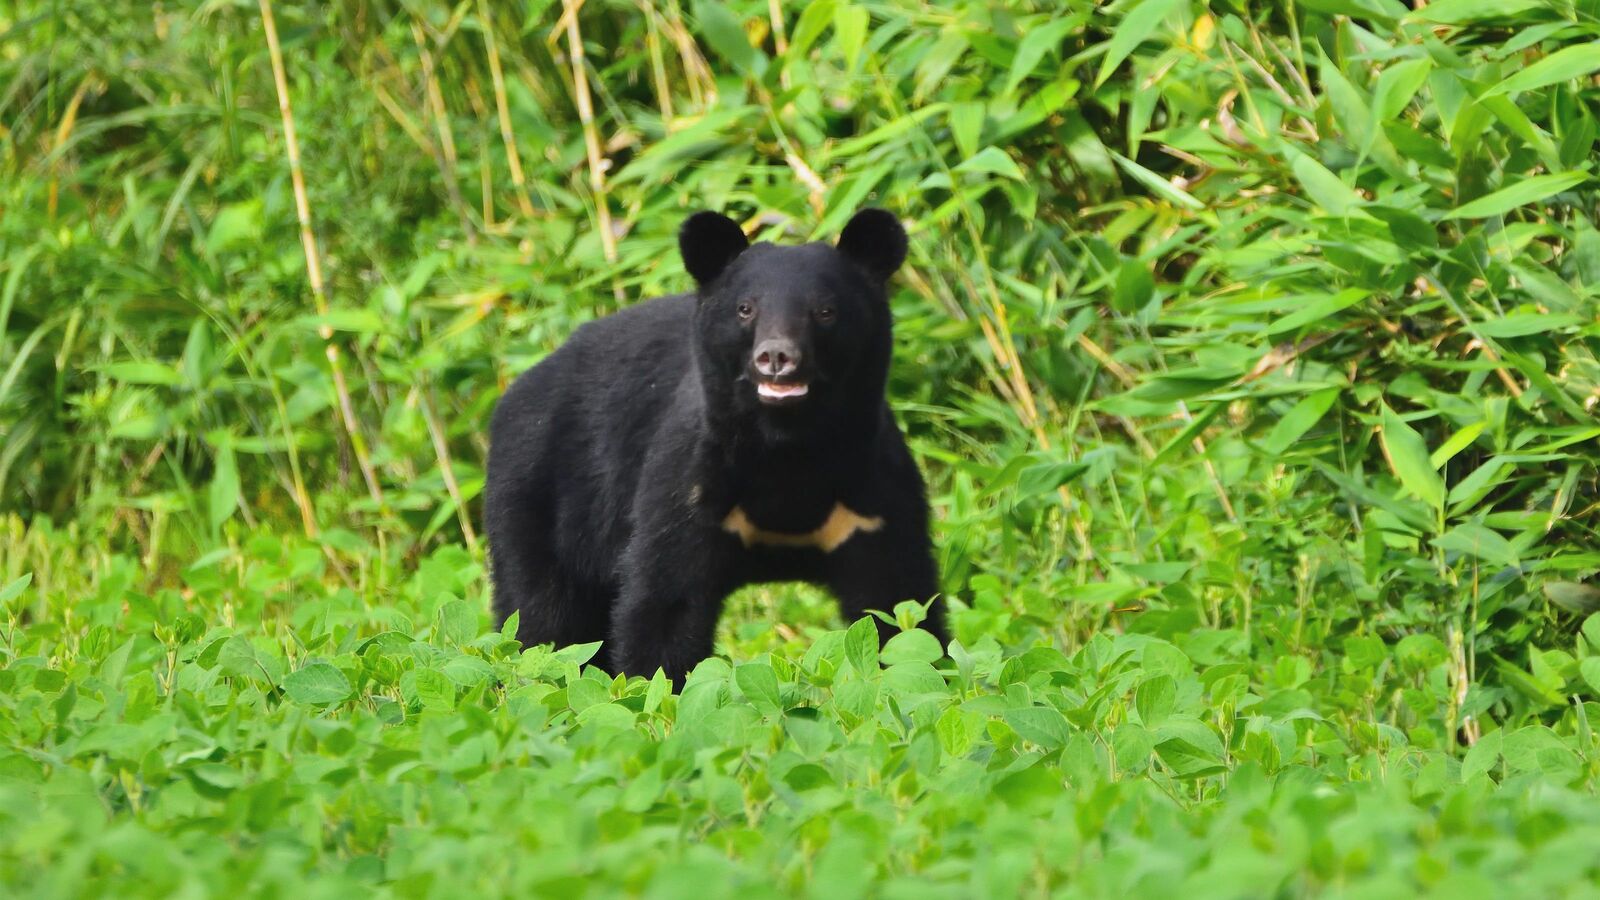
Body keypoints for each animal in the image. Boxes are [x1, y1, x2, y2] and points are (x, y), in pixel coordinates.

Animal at [480, 208, 940, 679]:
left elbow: (898, 605)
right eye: (745, 309)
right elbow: (664, 607)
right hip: (538, 498)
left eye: (826, 311)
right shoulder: (691, 487)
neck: (787, 448)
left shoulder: (872, 499)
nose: (777, 357)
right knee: (541, 617)